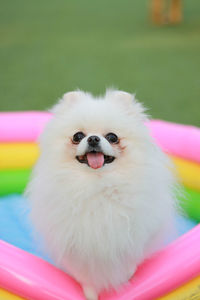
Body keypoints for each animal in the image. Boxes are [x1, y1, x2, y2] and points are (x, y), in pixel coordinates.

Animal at [26, 89, 175, 300]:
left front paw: (127, 276)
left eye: (112, 137)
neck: (97, 184)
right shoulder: (75, 247)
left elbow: (130, 259)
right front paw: (90, 294)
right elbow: (86, 277)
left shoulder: (137, 232)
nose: (93, 138)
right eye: (78, 136)